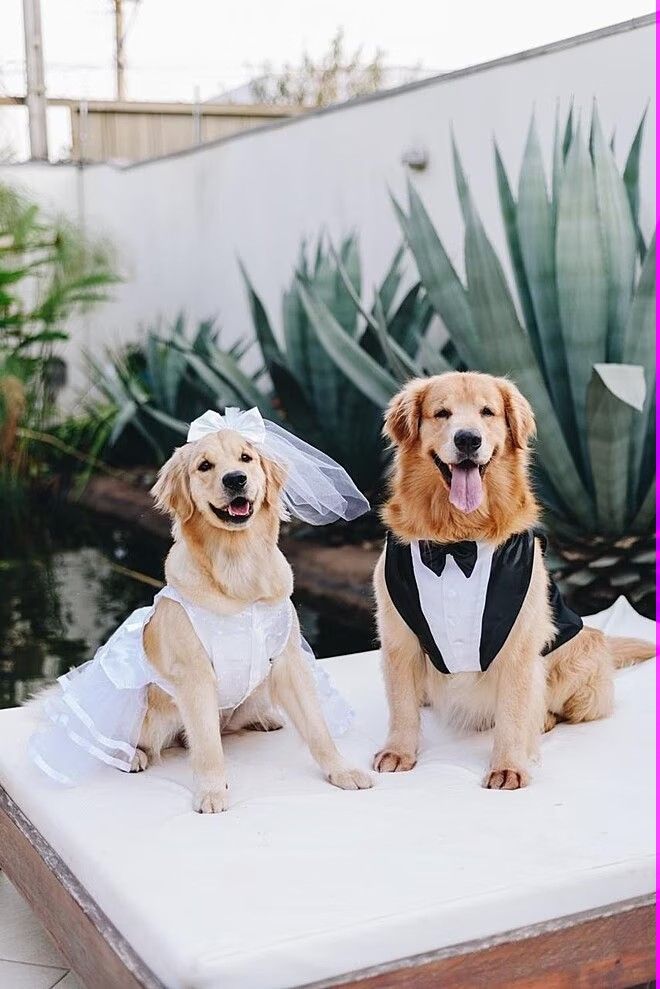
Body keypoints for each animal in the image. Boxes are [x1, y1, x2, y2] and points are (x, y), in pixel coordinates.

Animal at [31, 406, 374, 808]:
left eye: (246, 458)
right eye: (205, 466)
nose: (236, 479)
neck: (238, 568)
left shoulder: (288, 662)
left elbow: (318, 728)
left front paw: (341, 770)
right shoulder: (195, 677)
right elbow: (208, 747)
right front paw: (211, 792)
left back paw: (264, 719)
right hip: (148, 712)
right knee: (133, 738)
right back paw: (131, 755)